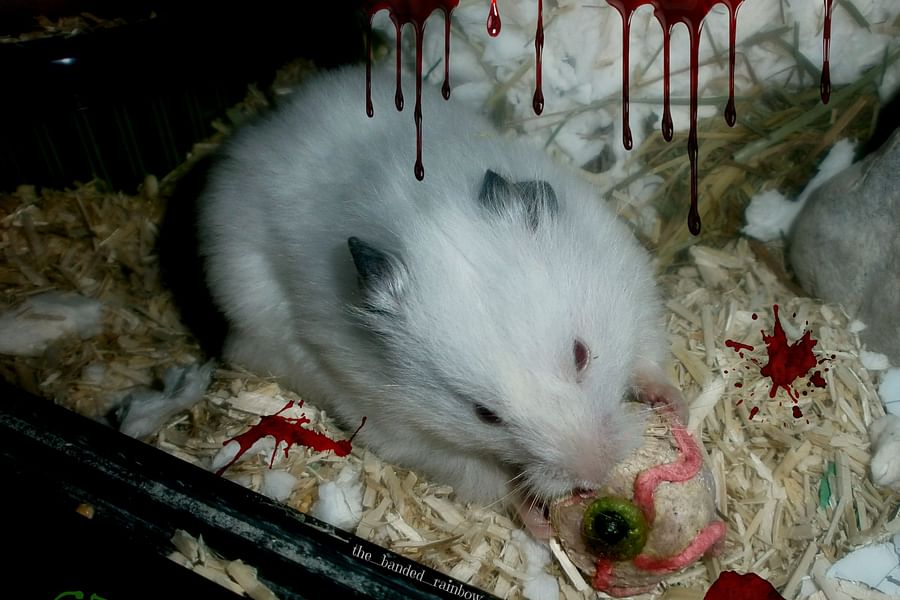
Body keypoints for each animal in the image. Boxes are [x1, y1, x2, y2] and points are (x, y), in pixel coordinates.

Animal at [195, 65, 684, 533]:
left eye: (581, 355)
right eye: (485, 415)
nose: (595, 475)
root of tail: (266, 122)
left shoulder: (629, 279)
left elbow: (647, 353)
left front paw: (672, 401)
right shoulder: (400, 429)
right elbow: (483, 474)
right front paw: (537, 523)